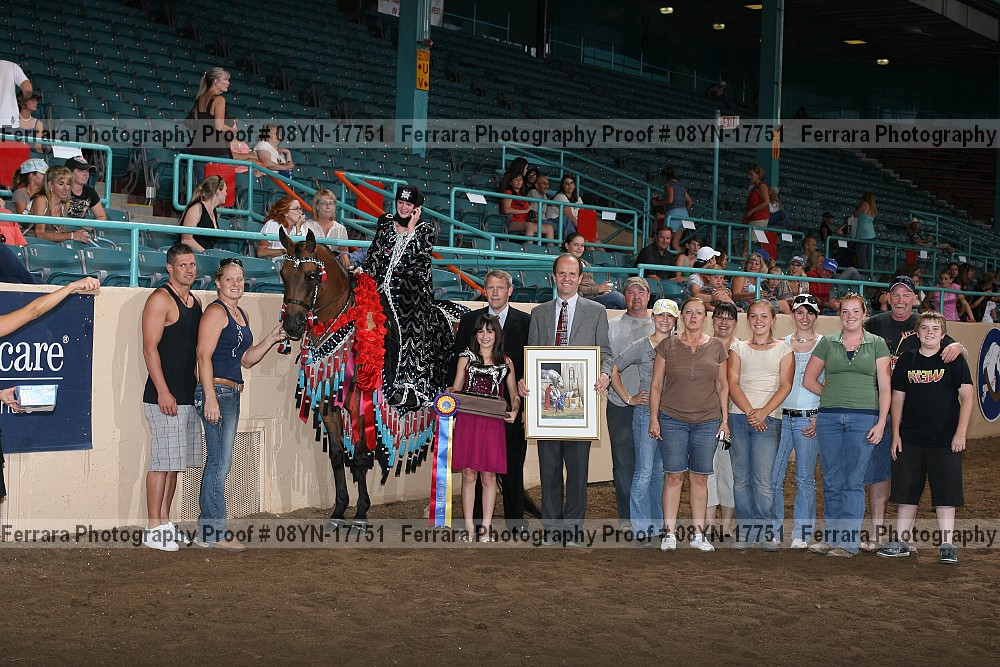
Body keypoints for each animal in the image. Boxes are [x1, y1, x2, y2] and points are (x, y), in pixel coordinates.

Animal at [277, 228, 373, 528]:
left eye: (311, 275)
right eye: (283, 274)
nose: (292, 325)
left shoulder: (359, 404)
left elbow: (360, 457)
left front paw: (362, 512)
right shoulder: (329, 404)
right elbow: (338, 455)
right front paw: (340, 508)